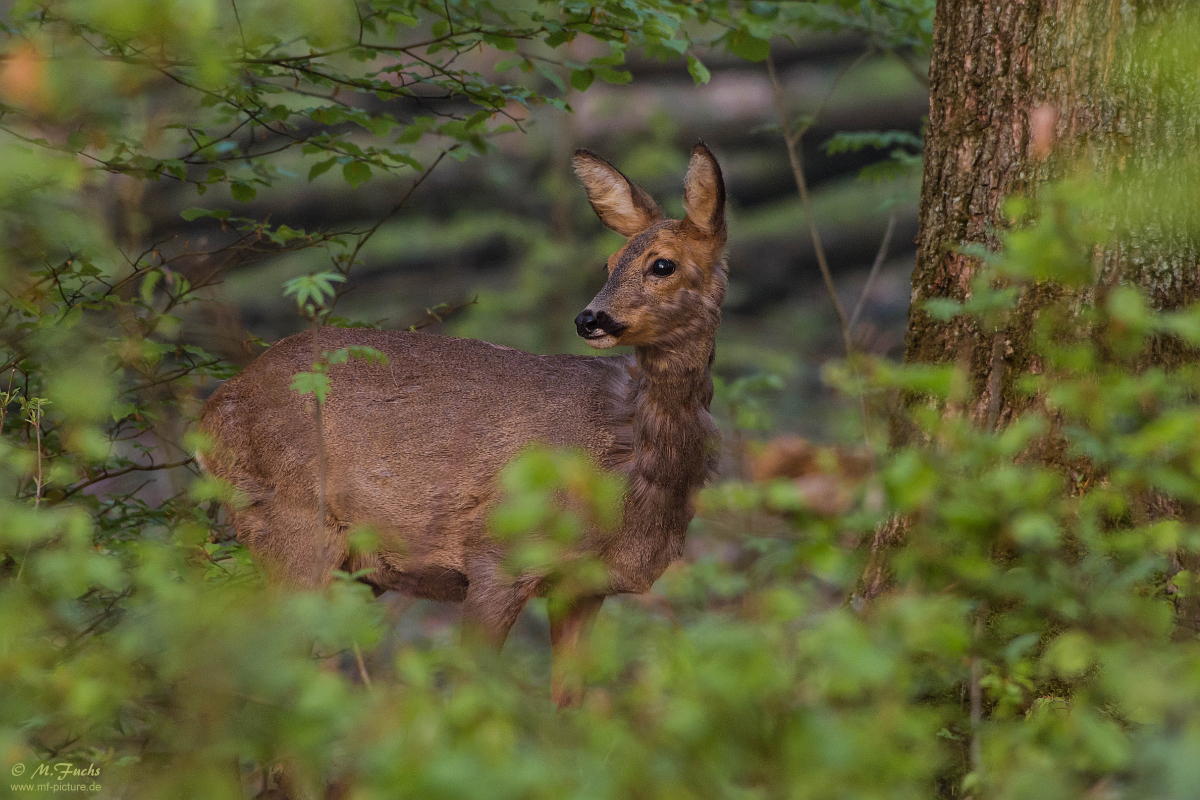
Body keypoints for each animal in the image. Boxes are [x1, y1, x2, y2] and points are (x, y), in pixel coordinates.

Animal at [198, 143, 724, 705]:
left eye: (662, 264)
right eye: (609, 262)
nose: (590, 319)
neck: (626, 461)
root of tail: (210, 415)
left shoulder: (583, 586)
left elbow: (568, 703)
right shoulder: (497, 558)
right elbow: (473, 688)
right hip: (291, 524)